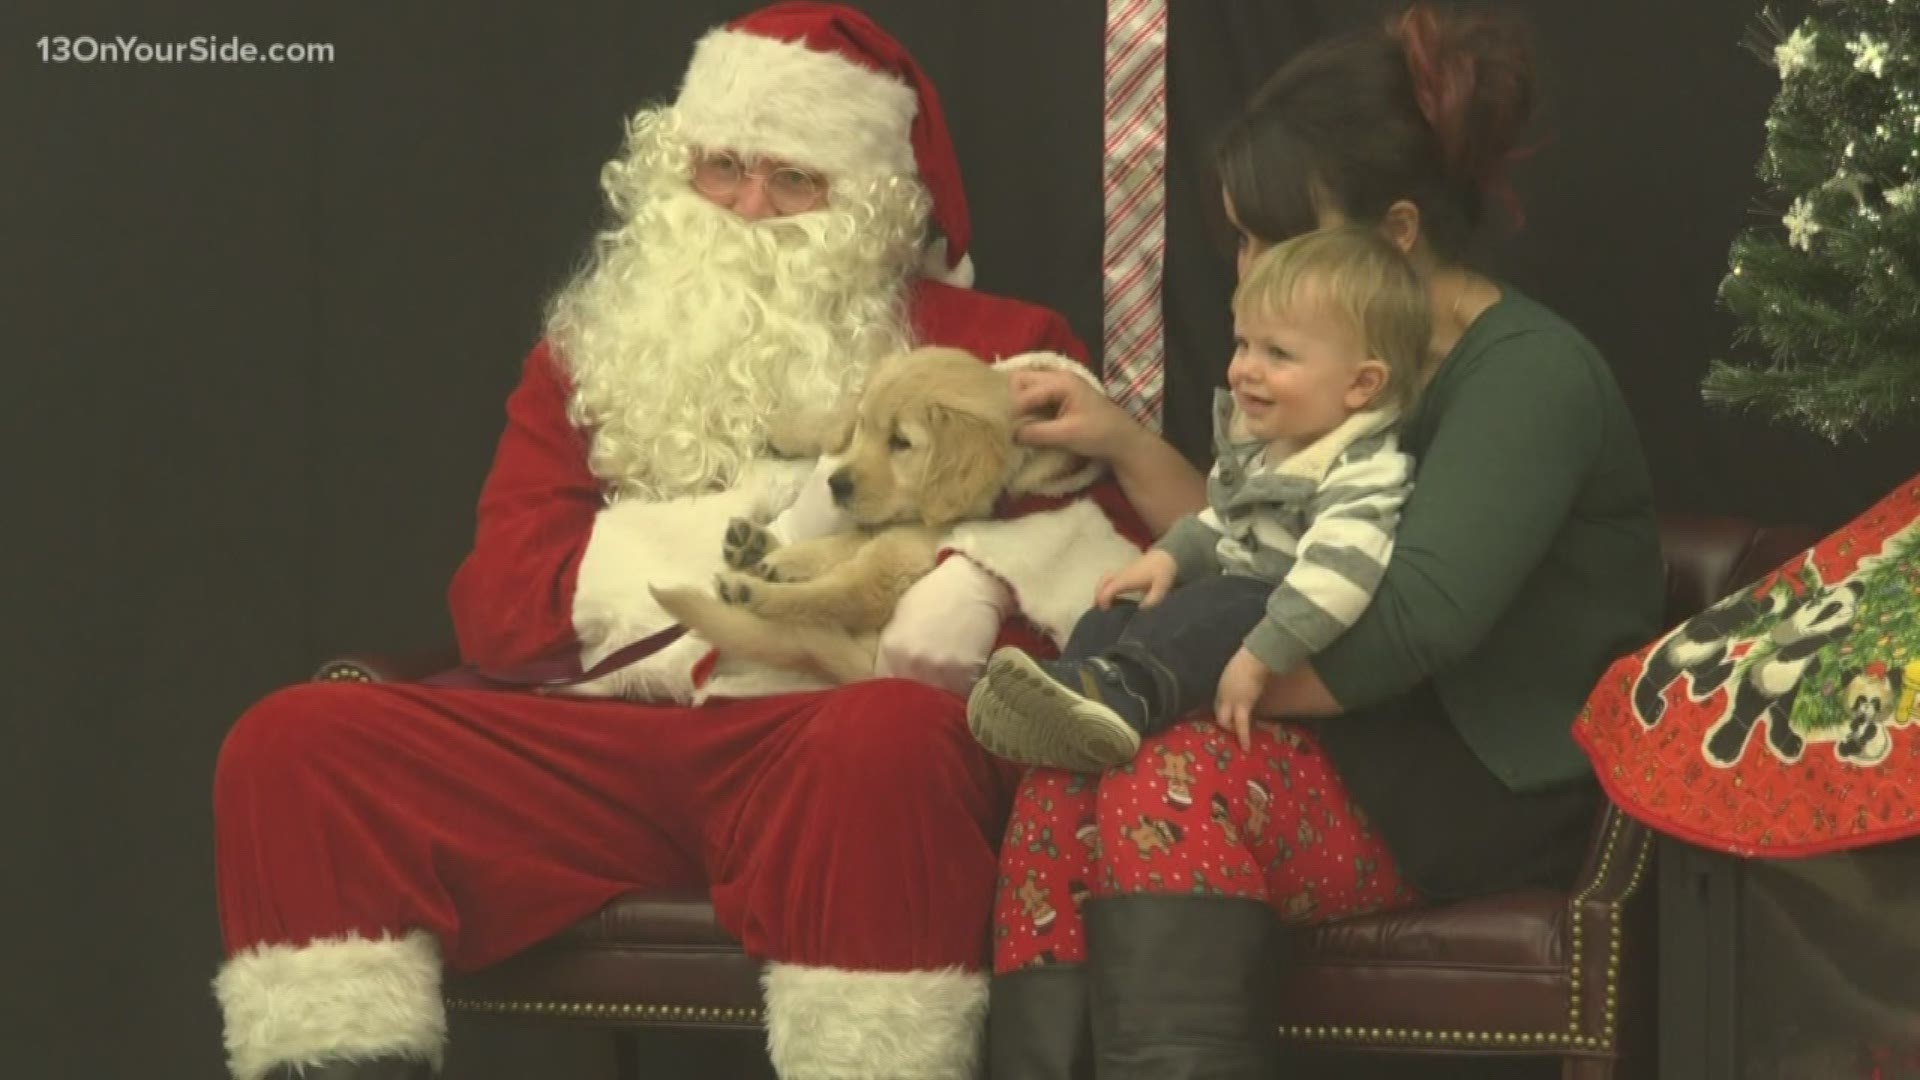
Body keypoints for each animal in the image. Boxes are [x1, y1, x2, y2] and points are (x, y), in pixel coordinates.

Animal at [652, 343, 1082, 680]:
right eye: (864, 425)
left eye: (901, 442)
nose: (836, 484)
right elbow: (828, 426)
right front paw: (788, 431)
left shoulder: (913, 538)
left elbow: (851, 577)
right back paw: (757, 548)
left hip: (895, 556)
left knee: (849, 592)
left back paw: (752, 589)